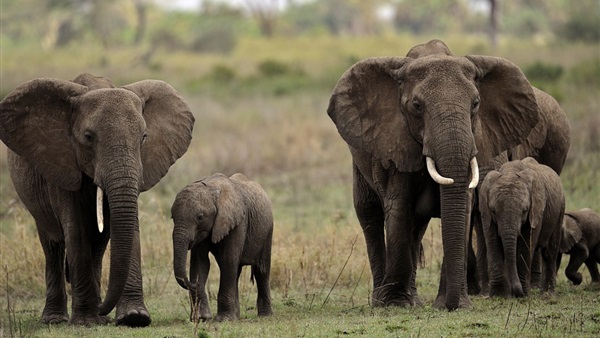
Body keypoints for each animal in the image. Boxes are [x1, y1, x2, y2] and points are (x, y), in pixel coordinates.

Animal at [0, 73, 195, 324]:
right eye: (88, 137)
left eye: (144, 138)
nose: (104, 311)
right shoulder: (62, 164)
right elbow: (76, 231)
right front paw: (85, 321)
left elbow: (130, 226)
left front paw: (133, 318)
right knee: (52, 245)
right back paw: (56, 319)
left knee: (98, 245)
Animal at [169, 174, 272, 322]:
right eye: (172, 216)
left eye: (200, 217)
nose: (194, 284)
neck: (212, 189)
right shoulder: (201, 232)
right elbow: (200, 263)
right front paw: (202, 318)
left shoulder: (238, 221)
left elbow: (228, 260)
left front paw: (223, 319)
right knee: (236, 272)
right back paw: (236, 316)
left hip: (267, 230)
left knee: (261, 270)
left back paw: (265, 316)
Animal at [478, 157, 568, 298]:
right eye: (493, 211)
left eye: (525, 210)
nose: (516, 292)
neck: (510, 172)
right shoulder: (486, 213)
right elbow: (493, 242)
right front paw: (499, 295)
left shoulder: (536, 209)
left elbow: (525, 245)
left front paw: (523, 295)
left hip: (560, 209)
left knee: (549, 252)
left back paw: (547, 294)